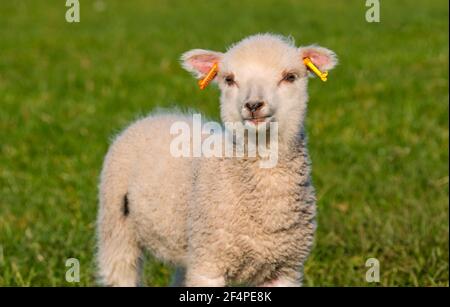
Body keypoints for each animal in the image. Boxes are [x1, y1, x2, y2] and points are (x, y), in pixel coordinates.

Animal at [98, 32, 338, 288]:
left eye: (290, 77)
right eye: (229, 79)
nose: (253, 105)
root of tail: (155, 116)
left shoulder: (286, 269)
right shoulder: (209, 264)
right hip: (115, 222)